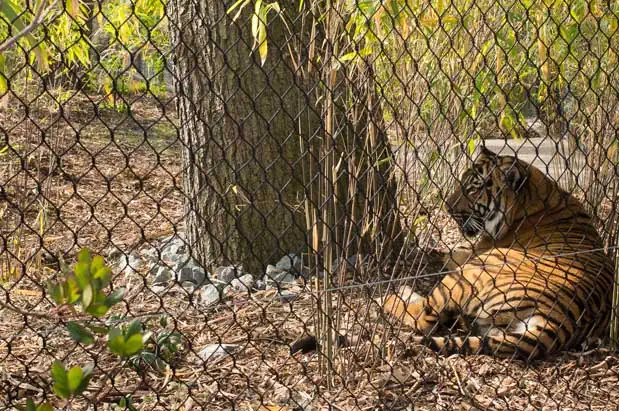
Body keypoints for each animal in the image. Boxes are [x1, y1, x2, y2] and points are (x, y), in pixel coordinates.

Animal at [382, 147, 616, 360]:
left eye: (472, 189)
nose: (447, 207)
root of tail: (559, 320)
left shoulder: (476, 252)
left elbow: (449, 254)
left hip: (472, 272)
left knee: (424, 318)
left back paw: (391, 295)